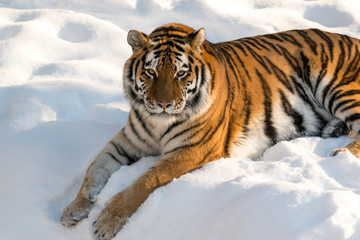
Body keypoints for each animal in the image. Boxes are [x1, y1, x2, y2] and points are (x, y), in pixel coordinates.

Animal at [60, 23, 360, 240]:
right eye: (151, 73)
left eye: (181, 74)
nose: (164, 104)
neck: (158, 123)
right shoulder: (125, 143)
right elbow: (93, 171)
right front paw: (74, 209)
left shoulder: (194, 149)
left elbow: (146, 182)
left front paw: (107, 222)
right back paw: (333, 129)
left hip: (336, 86)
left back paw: (340, 152)